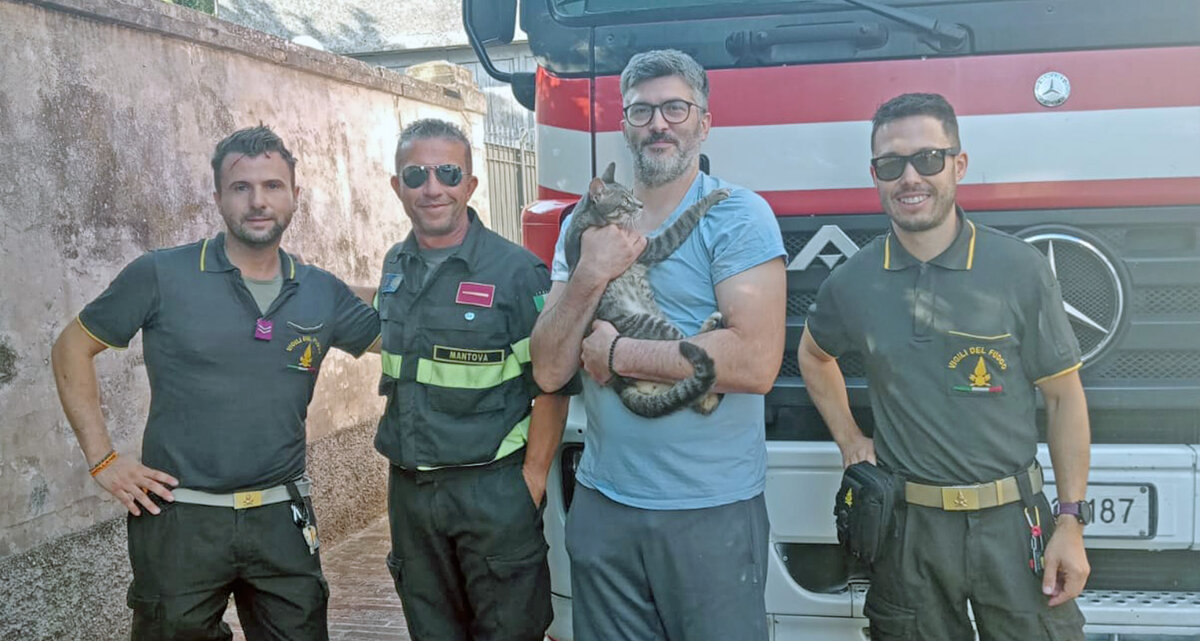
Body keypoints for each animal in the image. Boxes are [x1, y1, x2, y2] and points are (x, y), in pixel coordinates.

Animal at [564, 162, 729, 418]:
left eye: (632, 192)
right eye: (625, 200)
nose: (641, 205)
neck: (586, 220)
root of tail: (621, 384)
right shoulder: (651, 246)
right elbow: (685, 218)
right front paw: (711, 197)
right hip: (651, 325)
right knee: (684, 345)